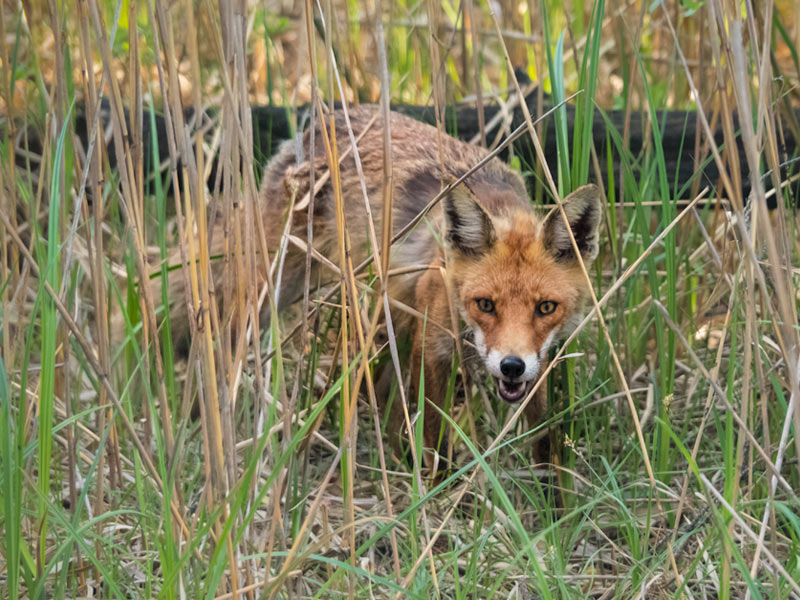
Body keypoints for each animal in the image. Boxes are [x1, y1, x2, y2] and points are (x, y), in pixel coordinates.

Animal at [161, 104, 600, 460]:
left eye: (546, 308)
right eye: (485, 304)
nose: (510, 366)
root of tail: (320, 123)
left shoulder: (537, 360)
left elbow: (543, 440)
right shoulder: (433, 346)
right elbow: (437, 444)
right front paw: (436, 498)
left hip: (390, 317)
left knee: (385, 393)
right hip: (270, 290)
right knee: (215, 344)